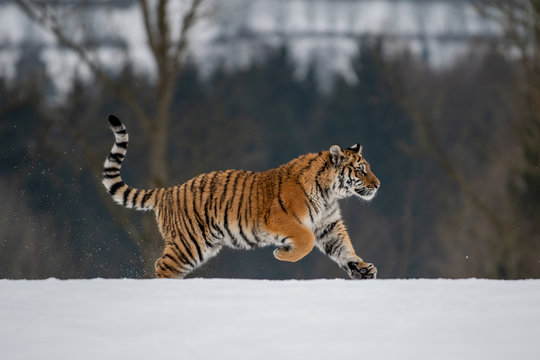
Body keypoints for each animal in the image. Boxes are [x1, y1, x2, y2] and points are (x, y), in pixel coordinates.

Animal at [101, 114, 380, 278]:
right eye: (360, 170)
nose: (378, 185)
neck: (329, 193)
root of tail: (169, 190)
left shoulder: (329, 226)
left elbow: (345, 249)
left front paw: (363, 268)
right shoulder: (280, 219)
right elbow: (306, 240)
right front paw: (282, 254)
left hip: (200, 245)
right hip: (189, 244)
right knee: (162, 266)